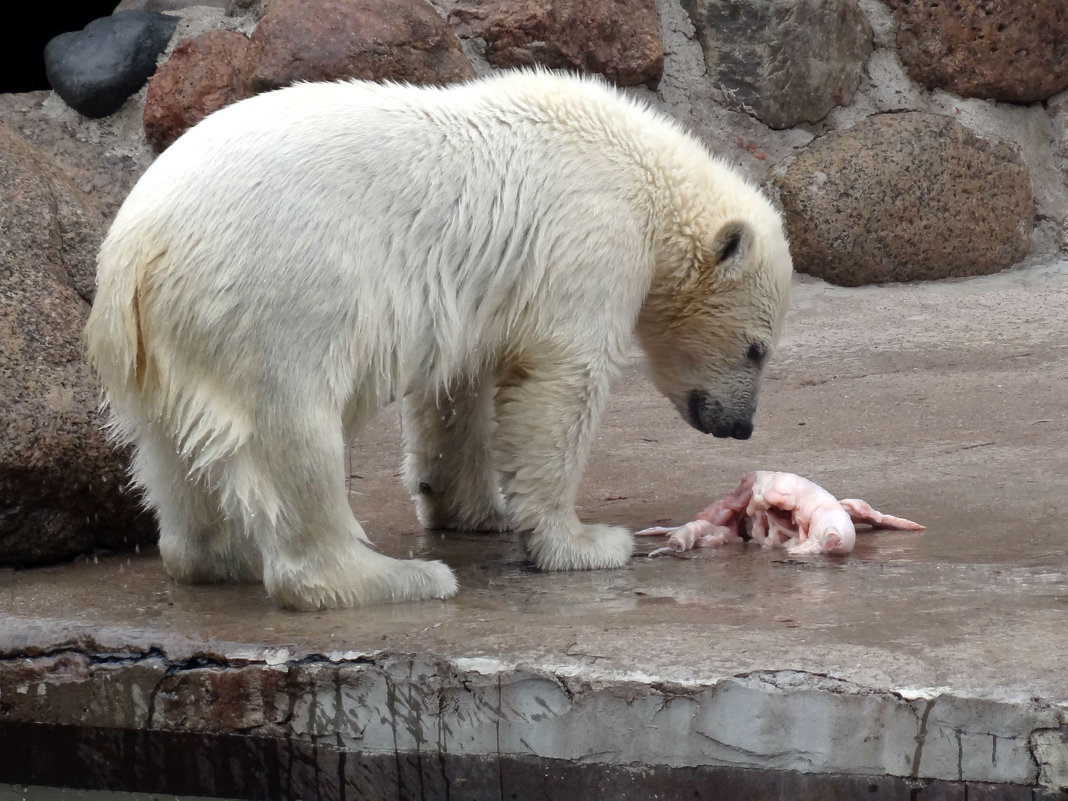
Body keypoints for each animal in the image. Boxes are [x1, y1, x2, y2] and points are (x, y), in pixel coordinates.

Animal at [85, 70, 794, 606]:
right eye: (757, 348)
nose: (742, 426)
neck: (644, 171)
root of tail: (138, 246)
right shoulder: (589, 239)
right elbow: (563, 382)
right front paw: (584, 543)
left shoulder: (474, 295)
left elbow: (456, 391)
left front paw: (473, 509)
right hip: (274, 293)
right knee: (293, 430)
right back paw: (393, 577)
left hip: (163, 341)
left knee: (169, 448)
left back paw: (219, 555)